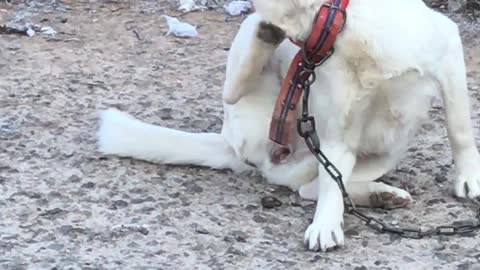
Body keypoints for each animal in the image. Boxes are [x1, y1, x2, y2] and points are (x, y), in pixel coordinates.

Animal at [97, 0, 480, 252]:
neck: (335, 29)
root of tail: (231, 143)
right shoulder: (336, 135)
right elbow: (331, 188)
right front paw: (325, 225)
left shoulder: (448, 55)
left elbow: (459, 129)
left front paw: (468, 179)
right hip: (261, 103)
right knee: (234, 89)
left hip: (385, 150)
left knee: (311, 186)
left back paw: (381, 195)